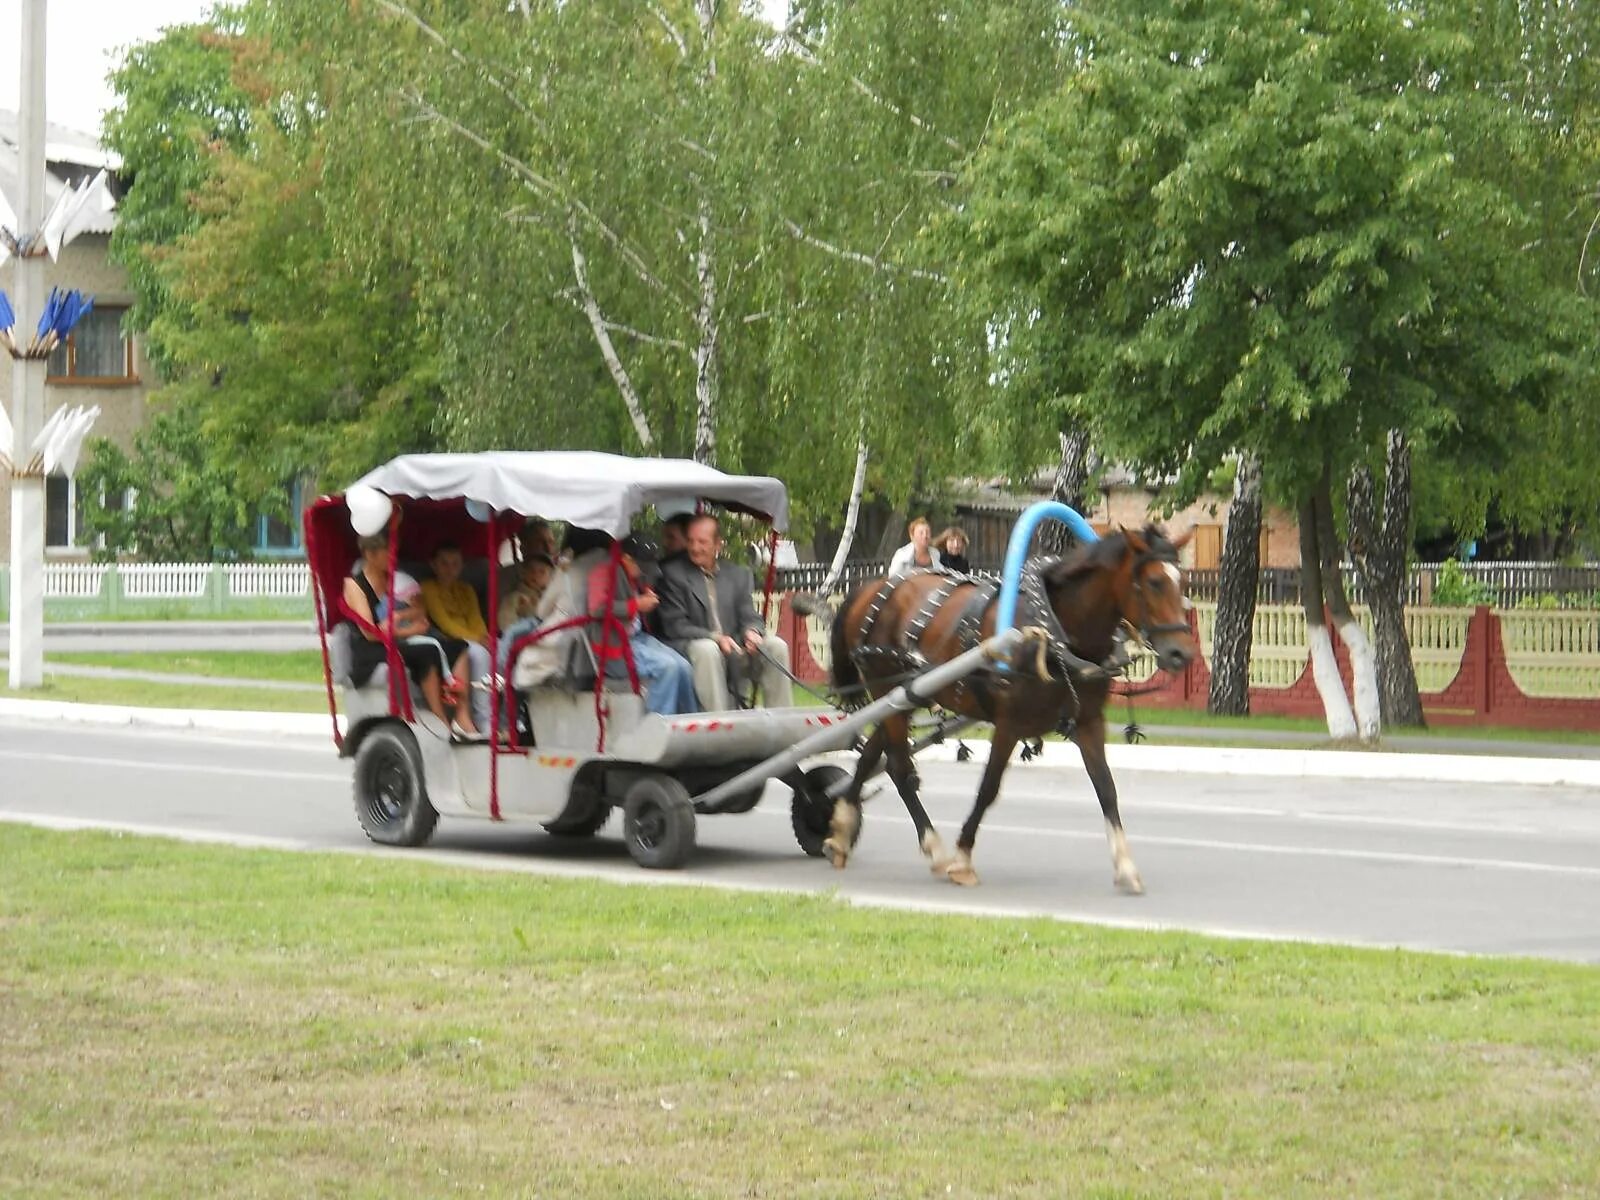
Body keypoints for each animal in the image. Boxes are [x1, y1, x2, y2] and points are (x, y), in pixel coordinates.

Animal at [825, 528, 1203, 896]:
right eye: (1154, 581)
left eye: (1182, 580)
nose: (1181, 654)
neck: (1053, 632)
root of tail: (872, 588)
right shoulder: (1009, 725)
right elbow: (988, 788)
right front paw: (963, 860)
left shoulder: (1089, 721)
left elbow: (1106, 788)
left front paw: (1125, 867)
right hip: (886, 691)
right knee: (901, 769)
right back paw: (934, 848)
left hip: (905, 697)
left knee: (873, 757)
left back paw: (841, 832)